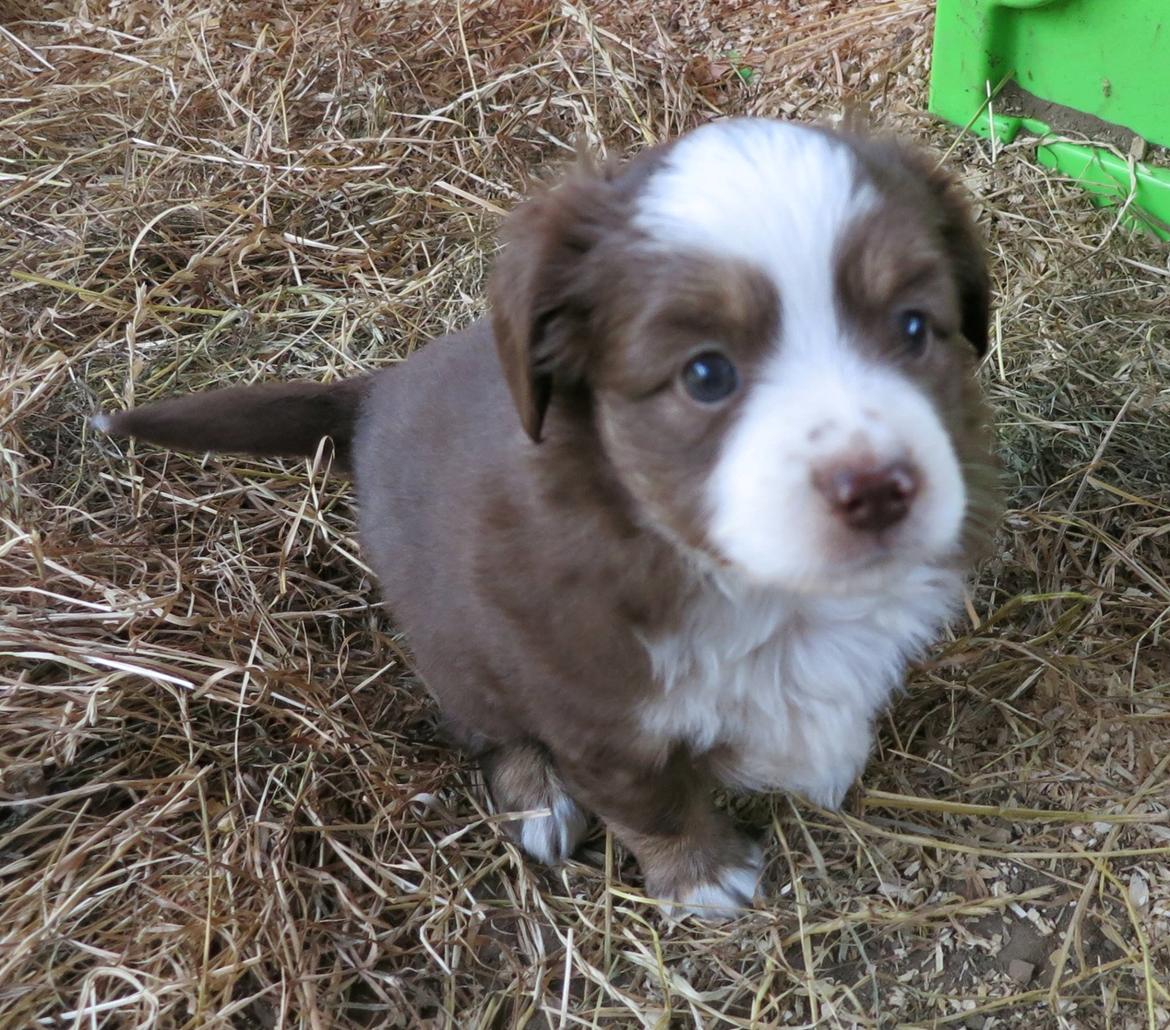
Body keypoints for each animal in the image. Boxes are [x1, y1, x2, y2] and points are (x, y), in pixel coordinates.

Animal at [95, 118, 1001, 917]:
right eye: (706, 374)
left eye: (913, 327)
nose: (878, 488)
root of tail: (374, 392)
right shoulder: (593, 710)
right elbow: (651, 801)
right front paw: (703, 877)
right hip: (455, 649)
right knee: (486, 729)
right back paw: (537, 800)